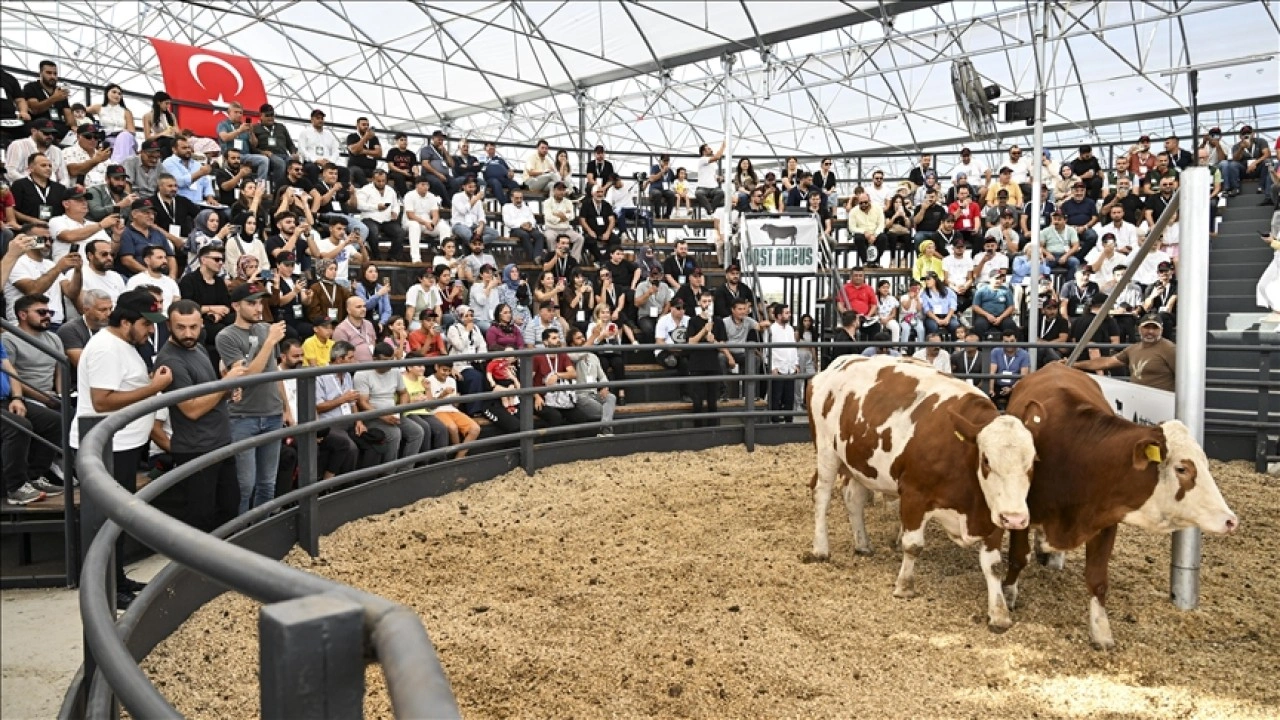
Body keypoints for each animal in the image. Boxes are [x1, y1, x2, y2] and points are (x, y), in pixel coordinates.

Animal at [803, 356, 1044, 625]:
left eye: (1033, 462)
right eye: (986, 460)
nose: (1016, 519)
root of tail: (839, 362)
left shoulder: (991, 512)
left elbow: (992, 564)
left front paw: (999, 612)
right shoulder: (913, 496)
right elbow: (913, 545)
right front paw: (904, 587)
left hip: (860, 464)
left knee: (854, 499)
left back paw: (862, 544)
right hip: (827, 451)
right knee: (822, 496)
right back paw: (820, 548)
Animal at [1003, 361, 1233, 648]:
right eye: (1182, 468)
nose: (1230, 520)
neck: (1075, 457)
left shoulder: (1105, 520)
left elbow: (1097, 579)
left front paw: (1101, 632)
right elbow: (1017, 558)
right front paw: (1008, 595)